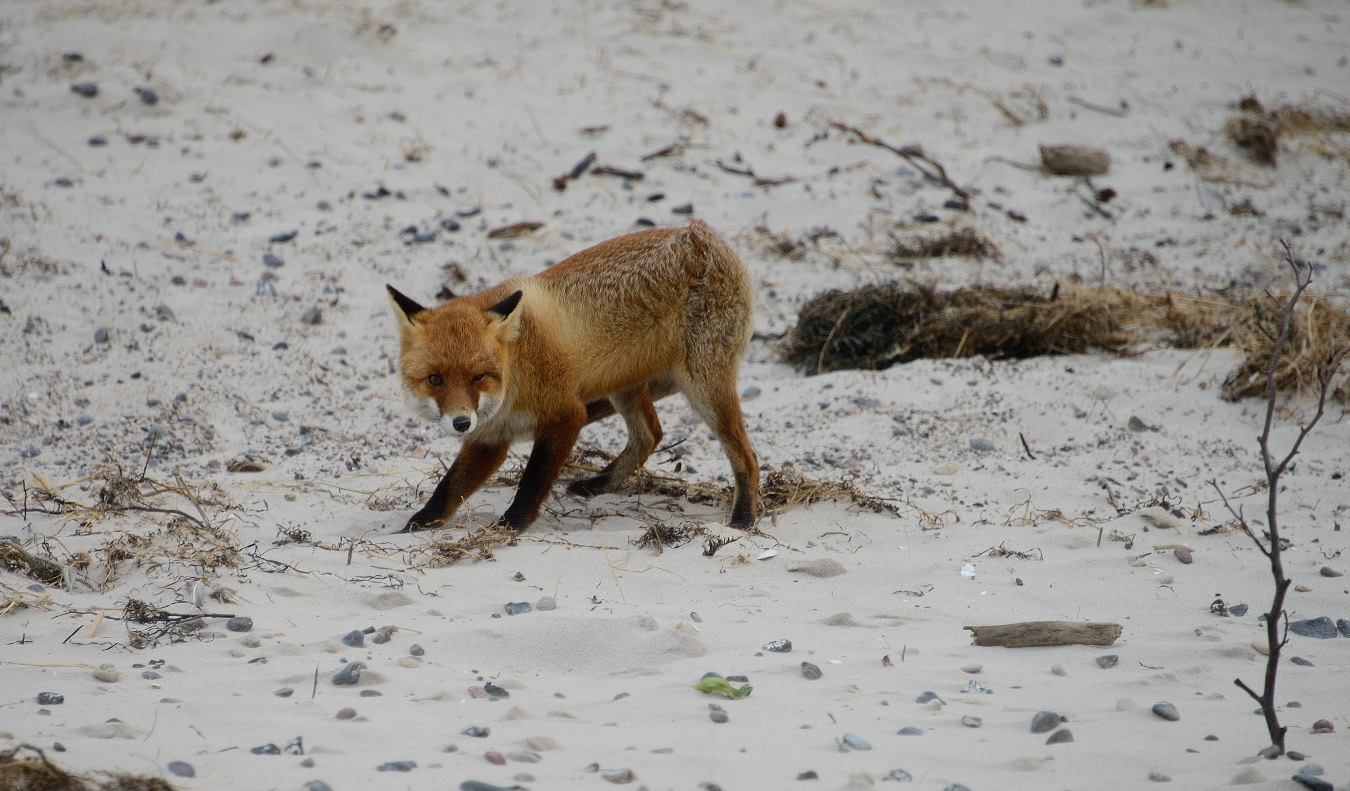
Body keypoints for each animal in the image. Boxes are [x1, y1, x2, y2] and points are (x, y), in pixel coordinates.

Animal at [388, 218, 761, 531]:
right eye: (435, 379)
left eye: (478, 376)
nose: (461, 423)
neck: (517, 372)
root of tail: (704, 233)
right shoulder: (489, 438)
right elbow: (447, 489)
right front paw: (414, 527)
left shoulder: (566, 415)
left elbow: (532, 481)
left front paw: (512, 526)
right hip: (625, 389)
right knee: (650, 435)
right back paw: (600, 483)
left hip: (704, 388)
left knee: (748, 457)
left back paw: (743, 518)